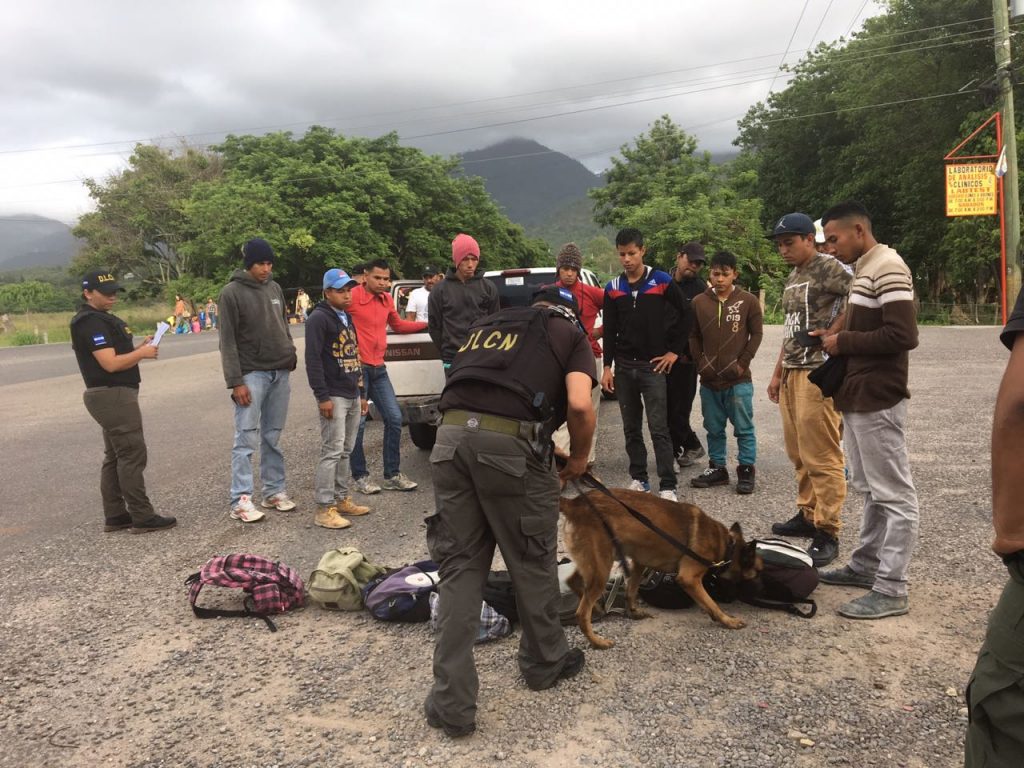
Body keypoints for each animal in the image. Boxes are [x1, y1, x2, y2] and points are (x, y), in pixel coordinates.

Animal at [560, 487, 761, 649]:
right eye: (757, 573)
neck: (727, 546)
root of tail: (574, 503)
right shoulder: (689, 578)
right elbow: (711, 603)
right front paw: (727, 620)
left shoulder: (639, 563)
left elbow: (631, 590)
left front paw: (633, 612)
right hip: (602, 569)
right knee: (581, 613)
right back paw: (597, 641)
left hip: (596, 564)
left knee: (573, 582)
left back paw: (598, 608)